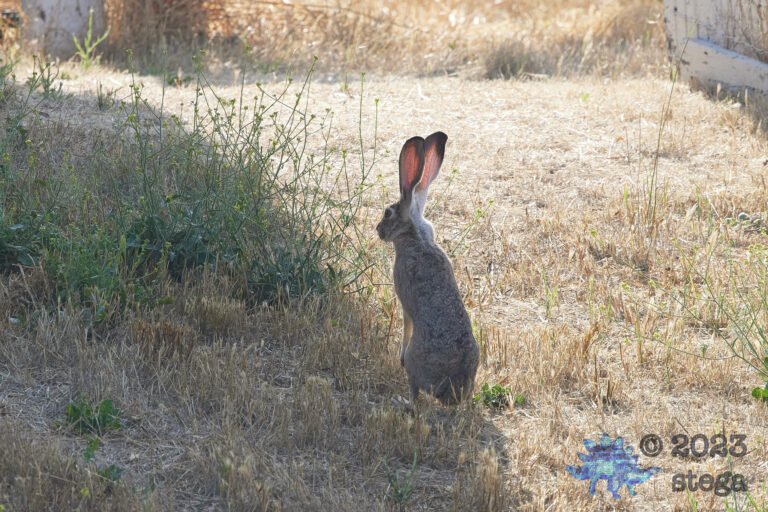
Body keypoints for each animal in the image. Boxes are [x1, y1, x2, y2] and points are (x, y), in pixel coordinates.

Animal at [376, 132, 479, 405]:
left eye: (387, 213)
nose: (378, 230)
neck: (415, 236)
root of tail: (451, 390)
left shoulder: (404, 302)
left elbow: (406, 323)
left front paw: (399, 355)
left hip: (416, 363)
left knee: (414, 396)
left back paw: (400, 400)